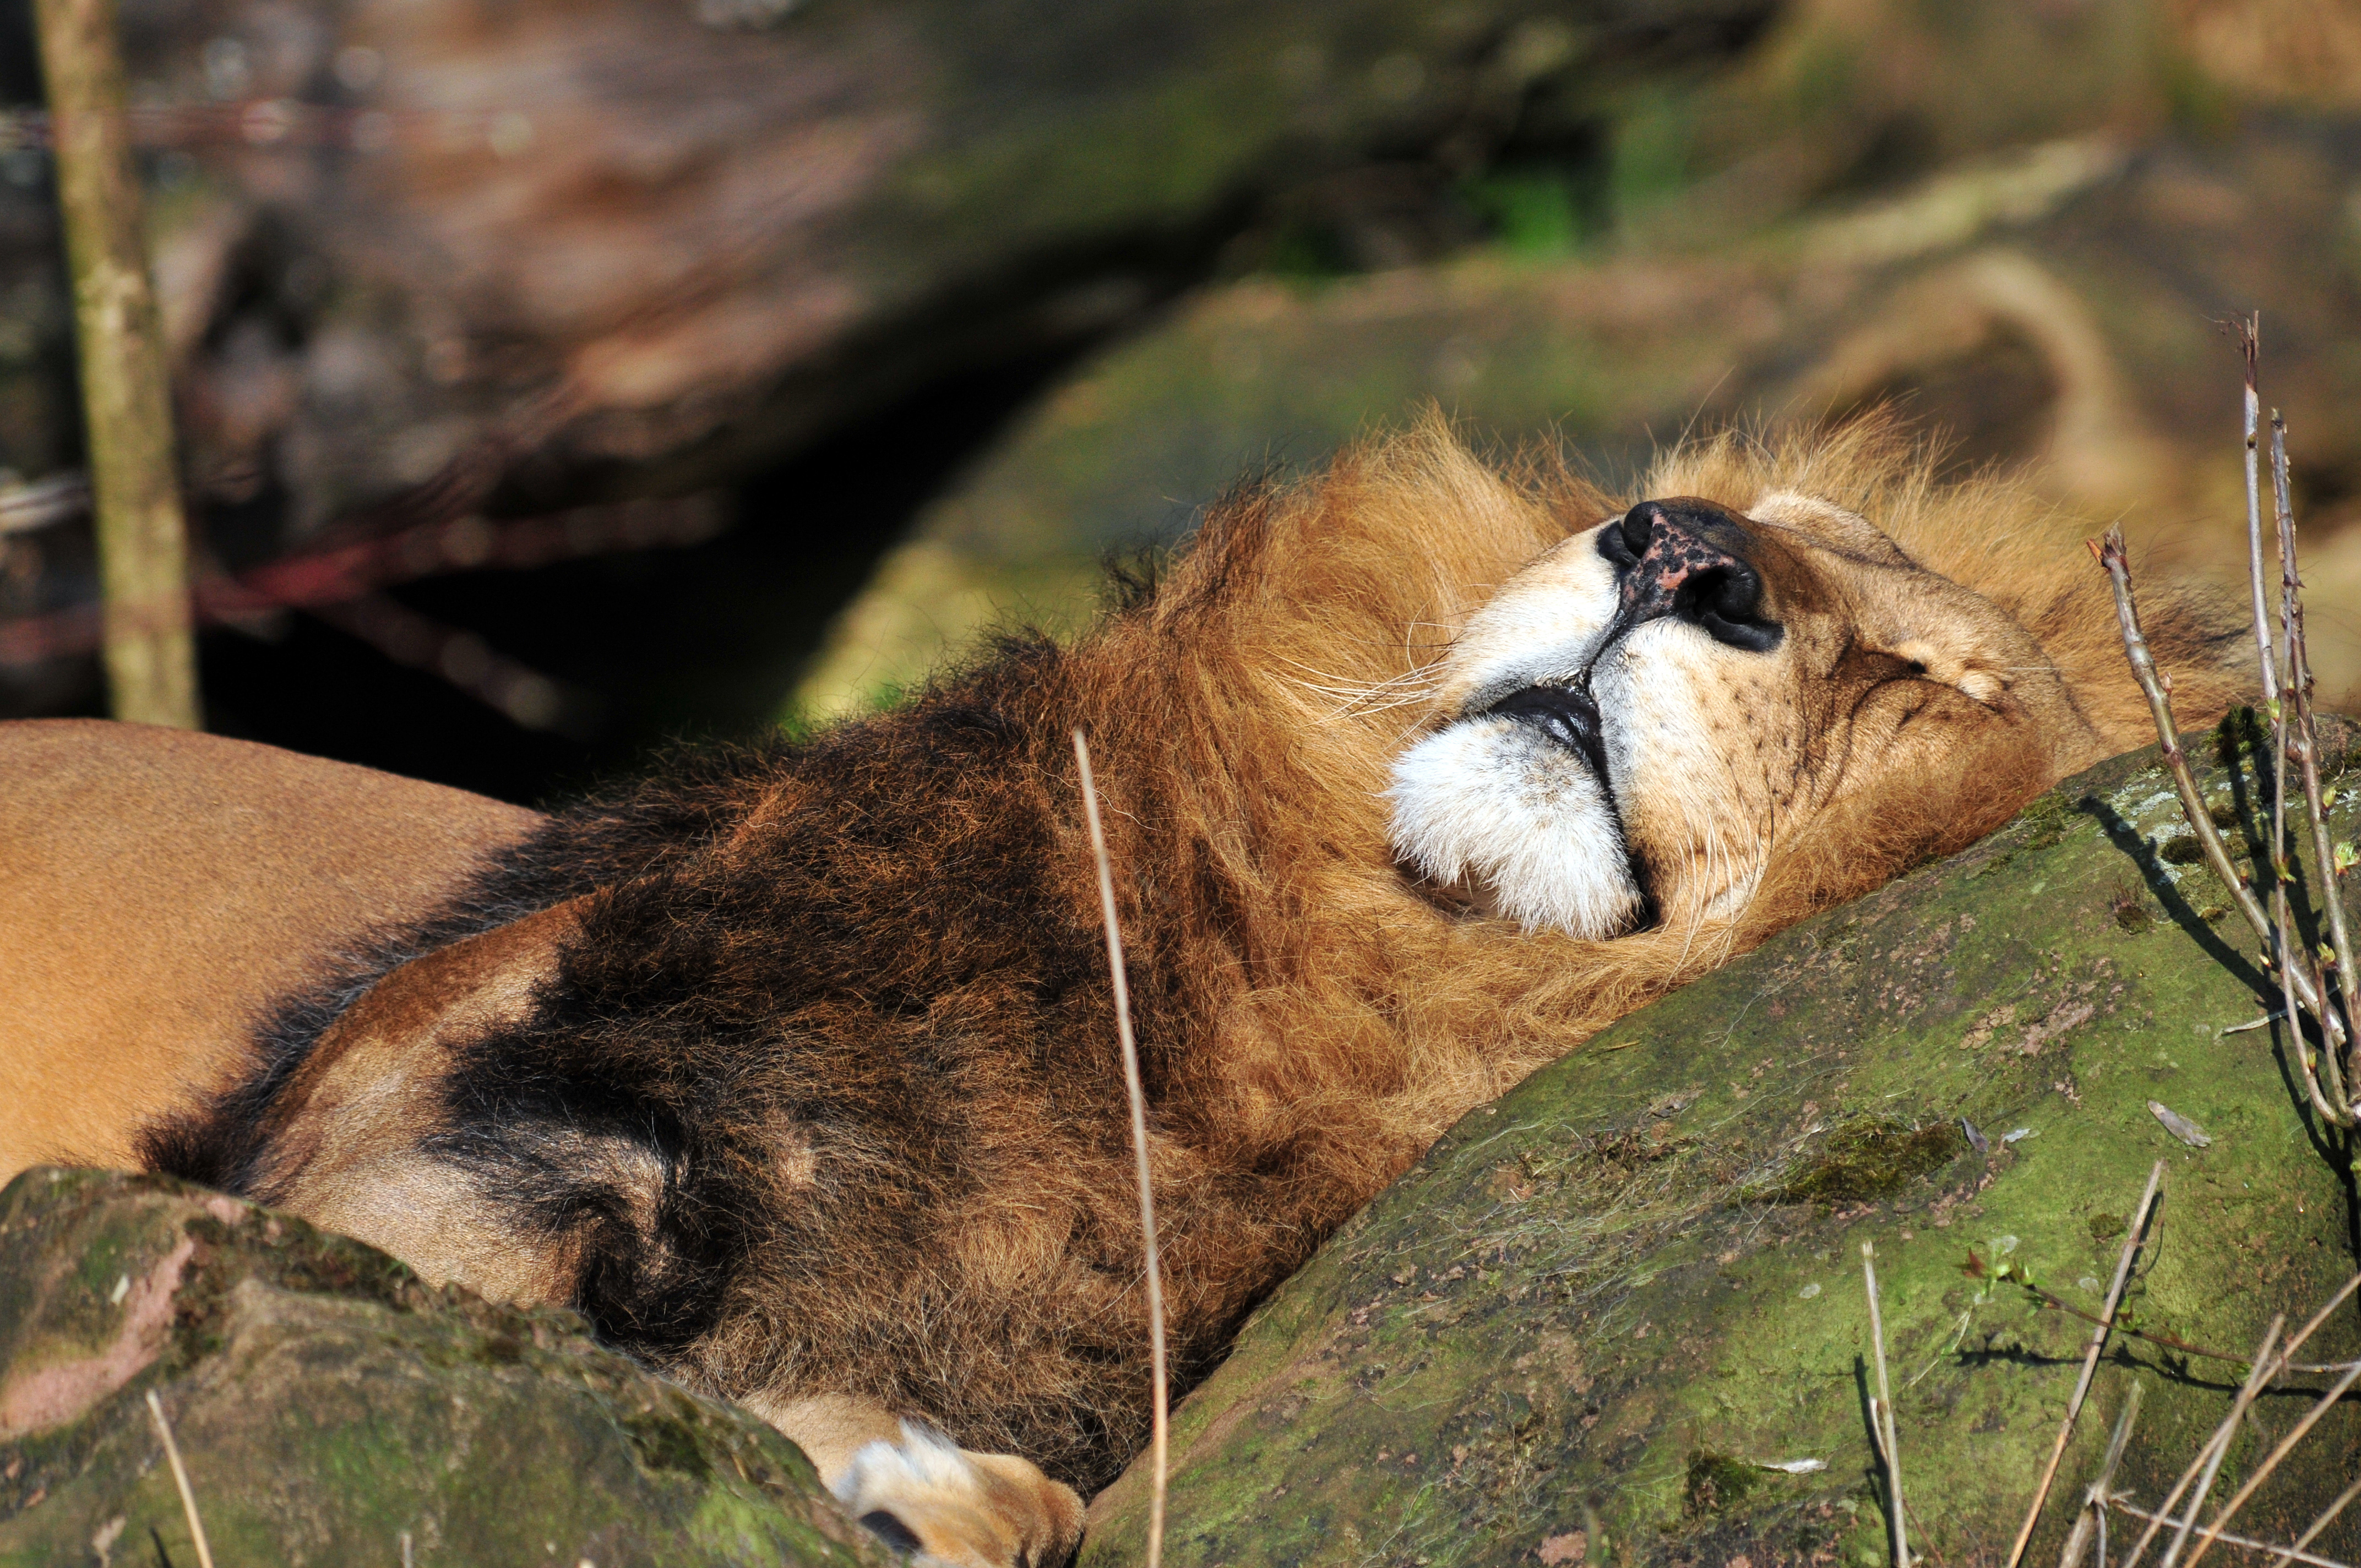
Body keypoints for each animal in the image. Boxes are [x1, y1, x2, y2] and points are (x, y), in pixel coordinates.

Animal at [0, 420, 2228, 1567]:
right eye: (1747, 516)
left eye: (1929, 676)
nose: (1679, 548)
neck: (1319, 952)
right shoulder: (452, 1114)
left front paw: (917, 1489)